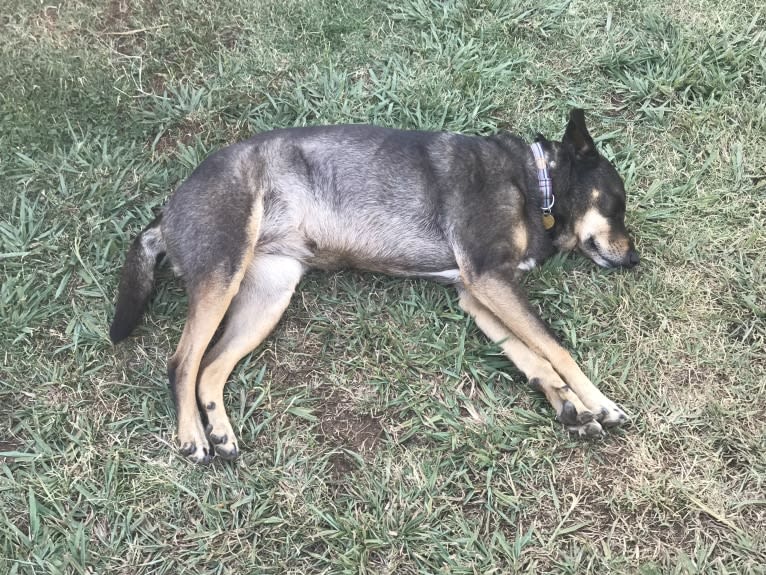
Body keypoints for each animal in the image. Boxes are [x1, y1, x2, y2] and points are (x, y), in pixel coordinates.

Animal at [111, 110, 640, 466]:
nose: (635, 259)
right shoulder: (490, 277)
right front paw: (600, 402)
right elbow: (556, 347)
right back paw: (193, 437)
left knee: (211, 367)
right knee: (182, 361)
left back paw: (220, 432)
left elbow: (533, 356)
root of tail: (166, 212)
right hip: (224, 268)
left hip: (267, 296)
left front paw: (568, 404)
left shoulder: (478, 293)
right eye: (617, 204)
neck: (535, 180)